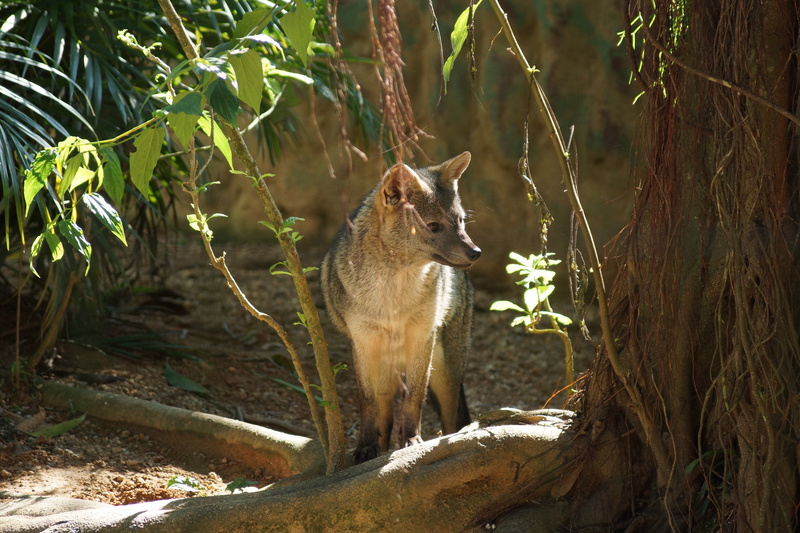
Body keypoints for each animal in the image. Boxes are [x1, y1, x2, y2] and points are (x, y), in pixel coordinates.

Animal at [320, 150, 482, 462]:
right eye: (433, 226)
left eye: (460, 222)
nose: (476, 253)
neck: (393, 299)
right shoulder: (363, 342)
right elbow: (367, 403)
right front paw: (365, 448)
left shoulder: (422, 337)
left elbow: (414, 398)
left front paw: (412, 440)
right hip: (387, 371)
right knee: (384, 415)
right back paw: (379, 448)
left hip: (445, 372)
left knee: (451, 418)